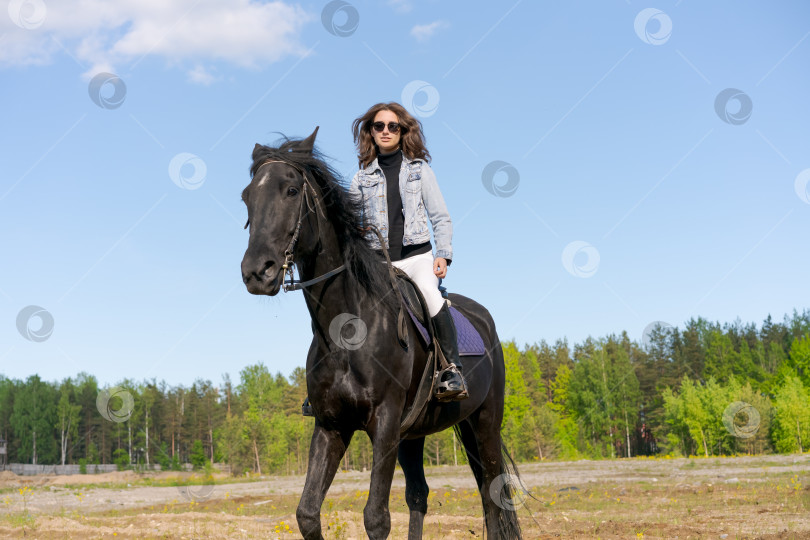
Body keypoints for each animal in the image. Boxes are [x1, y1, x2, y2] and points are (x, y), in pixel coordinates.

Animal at [240, 129, 520, 536]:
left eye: (291, 190)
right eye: (247, 196)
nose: (256, 272)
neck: (347, 329)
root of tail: (484, 319)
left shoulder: (384, 423)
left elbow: (376, 517)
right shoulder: (331, 426)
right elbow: (307, 513)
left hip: (484, 422)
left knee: (491, 495)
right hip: (415, 435)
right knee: (420, 495)